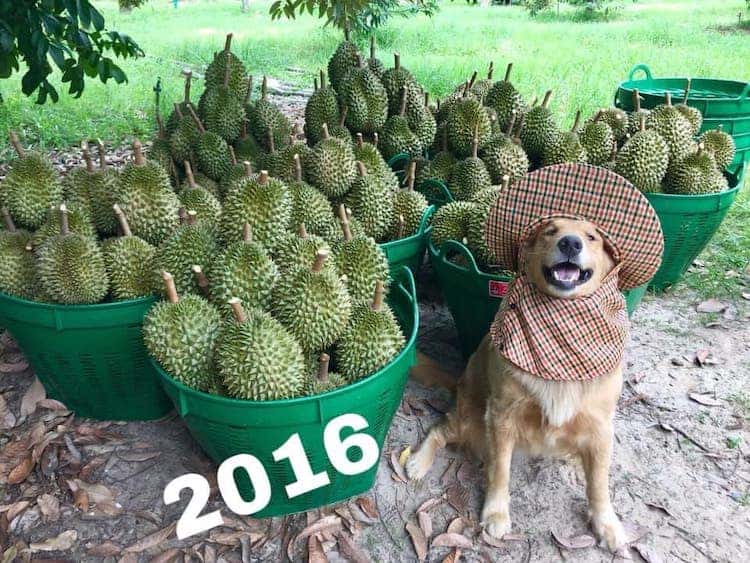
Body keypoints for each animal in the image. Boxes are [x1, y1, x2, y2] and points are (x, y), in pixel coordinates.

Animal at [408, 218, 632, 552]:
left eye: (592, 237)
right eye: (550, 231)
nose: (570, 243)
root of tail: (460, 381)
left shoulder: (601, 426)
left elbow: (599, 484)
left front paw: (606, 523)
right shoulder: (502, 416)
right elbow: (500, 470)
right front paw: (496, 513)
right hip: (470, 420)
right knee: (440, 431)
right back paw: (418, 463)